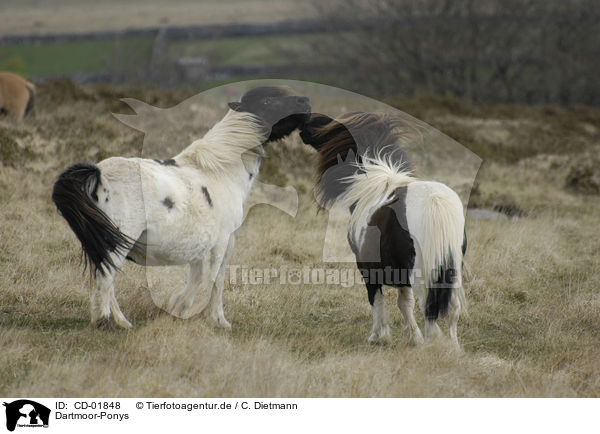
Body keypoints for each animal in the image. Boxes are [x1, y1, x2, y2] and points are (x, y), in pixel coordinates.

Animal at [52, 85, 312, 328]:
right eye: (268, 101)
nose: (306, 102)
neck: (220, 170)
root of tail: (98, 173)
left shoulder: (201, 246)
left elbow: (197, 278)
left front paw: (178, 307)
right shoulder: (224, 242)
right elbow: (216, 280)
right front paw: (217, 320)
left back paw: (122, 322)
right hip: (117, 240)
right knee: (105, 278)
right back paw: (104, 321)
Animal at [302, 112, 466, 350]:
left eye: (326, 126)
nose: (304, 122)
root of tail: (434, 201)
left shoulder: (368, 268)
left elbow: (377, 299)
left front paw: (379, 336)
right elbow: (404, 303)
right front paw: (411, 337)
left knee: (429, 308)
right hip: (449, 269)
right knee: (451, 308)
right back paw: (453, 349)